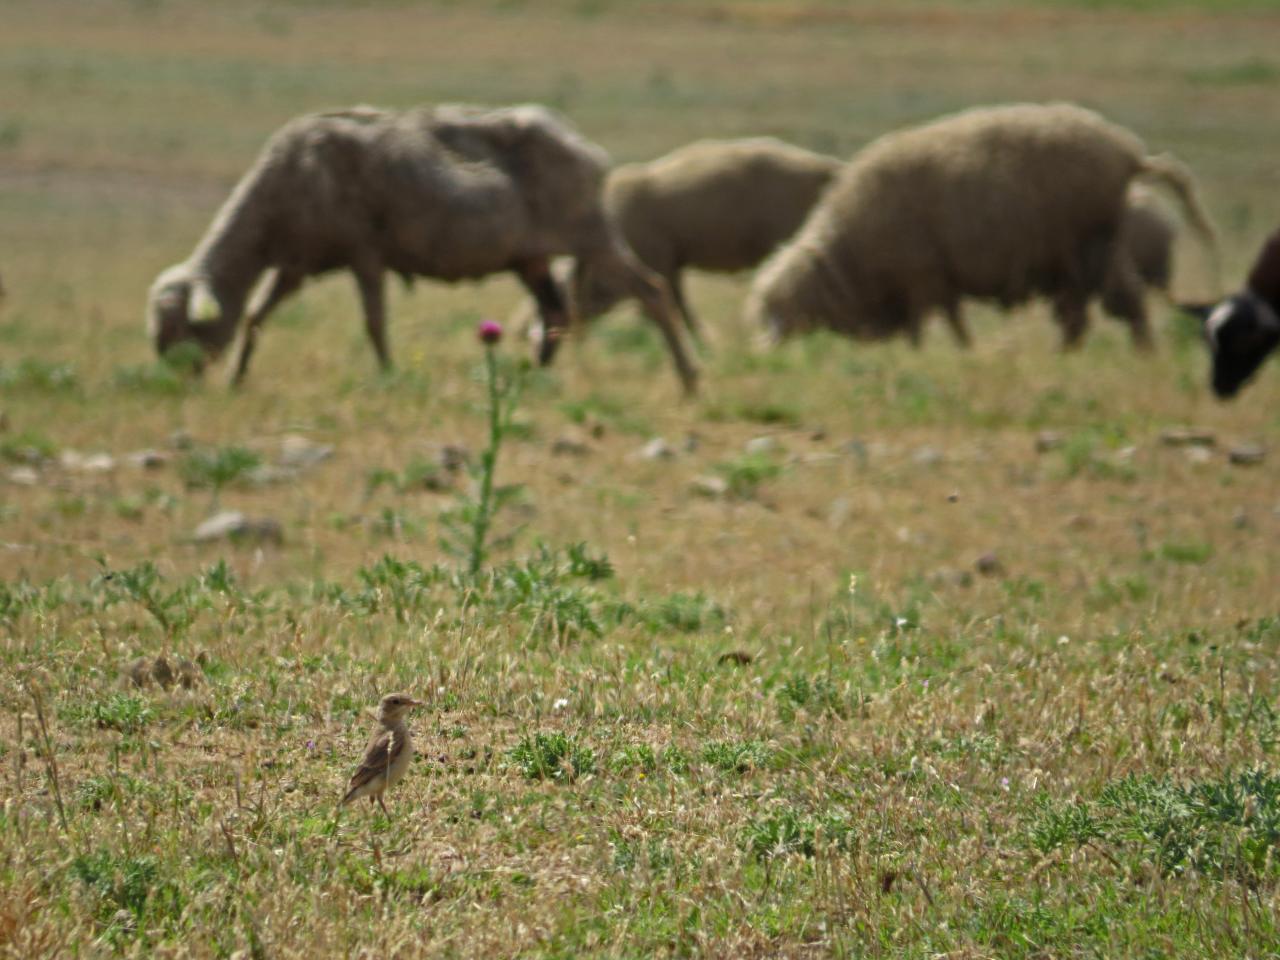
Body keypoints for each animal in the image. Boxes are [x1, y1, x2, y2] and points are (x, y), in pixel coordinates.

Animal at [149, 103, 701, 391]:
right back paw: (534, 376)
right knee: (556, 312)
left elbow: (374, 323)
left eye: (178, 327)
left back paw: (688, 376)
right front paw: (237, 378)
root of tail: (587, 151)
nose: (174, 377)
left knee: (651, 290)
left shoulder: (364, 253)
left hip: (590, 234)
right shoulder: (296, 265)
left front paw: (387, 374)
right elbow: (255, 316)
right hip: (532, 257)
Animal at [509, 135, 839, 345]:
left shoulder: (659, 261)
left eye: (557, 289)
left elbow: (670, 309)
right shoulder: (670, 264)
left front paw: (700, 340)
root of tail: (831, 168)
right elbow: (677, 305)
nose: (519, 331)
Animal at [747, 100, 1218, 353]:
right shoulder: (938, 281)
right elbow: (953, 322)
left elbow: (924, 328)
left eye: (776, 314)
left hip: (1087, 248)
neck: (848, 251)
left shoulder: (921, 277)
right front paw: (965, 351)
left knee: (1113, 308)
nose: (765, 353)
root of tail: (1128, 152)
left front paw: (932, 353)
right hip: (1088, 254)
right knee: (1104, 309)